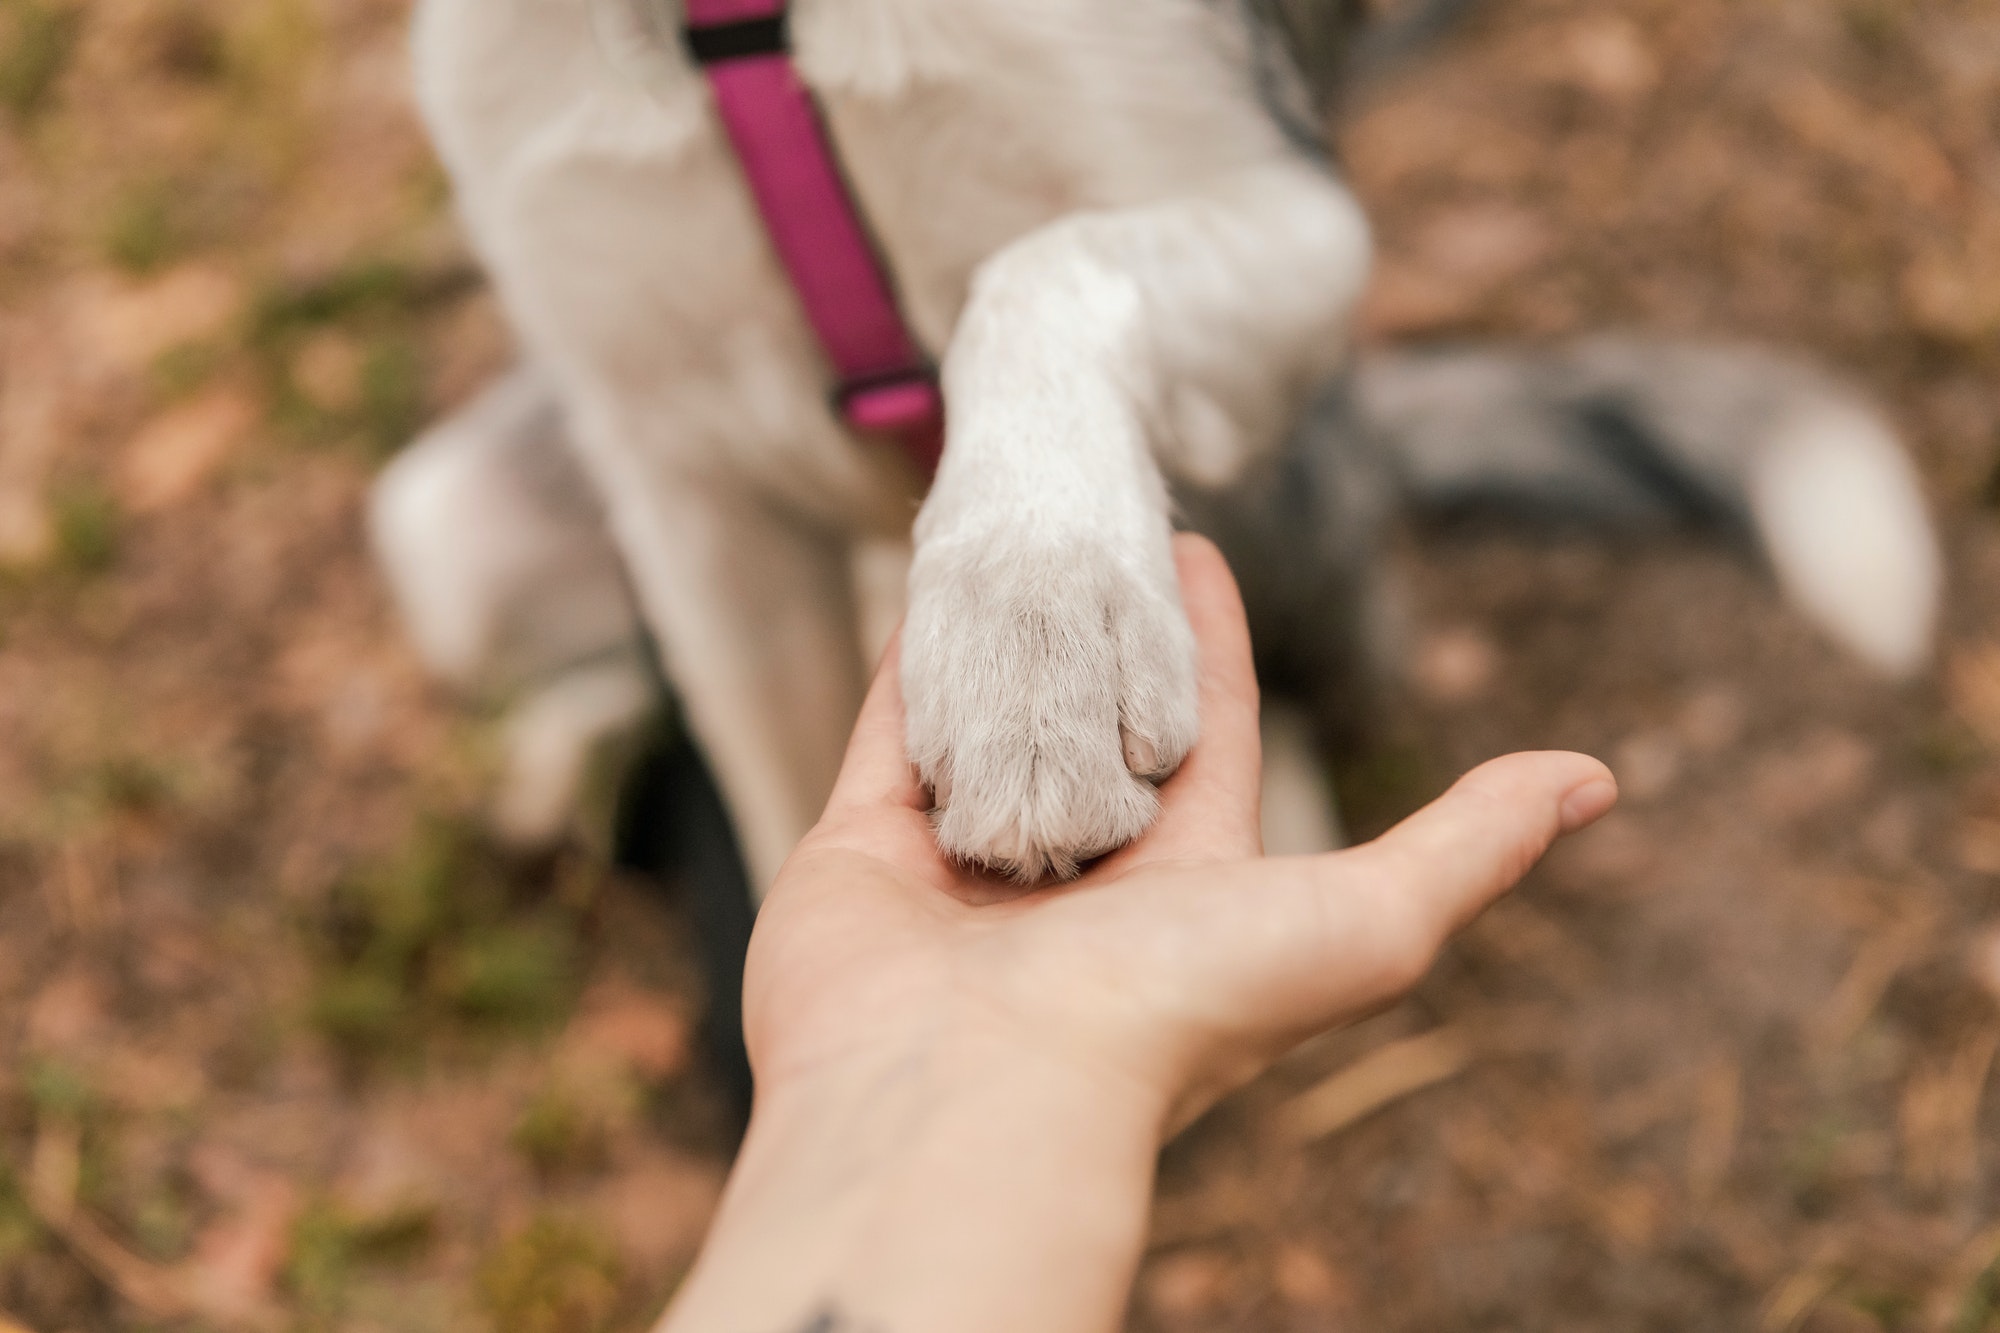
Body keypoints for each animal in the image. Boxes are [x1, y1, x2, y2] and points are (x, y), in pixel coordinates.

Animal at [372, 2, 1936, 892]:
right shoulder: (665, 457)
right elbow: (770, 819)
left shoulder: (1291, 216)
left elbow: (1041, 268)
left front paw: (1031, 631)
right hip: (450, 530)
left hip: (1285, 476)